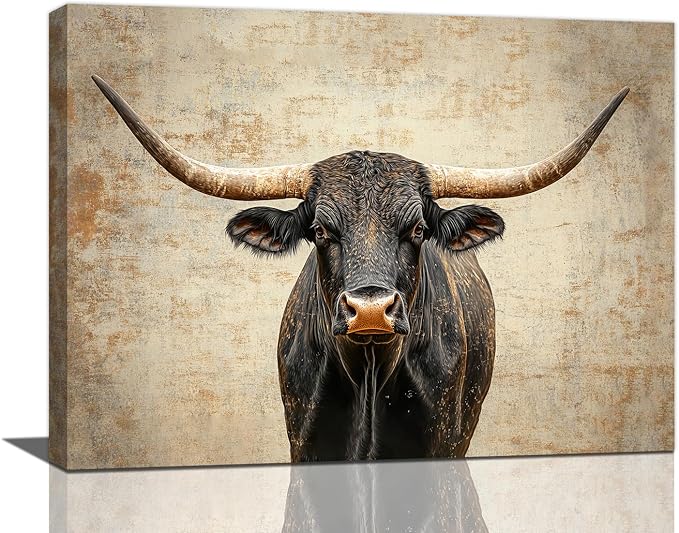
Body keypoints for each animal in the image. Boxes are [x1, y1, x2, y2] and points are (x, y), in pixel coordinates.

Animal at [93, 75, 628, 461]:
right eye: (321, 231)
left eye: (417, 229)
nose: (370, 311)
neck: (369, 378)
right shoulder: (305, 444)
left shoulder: (440, 445)